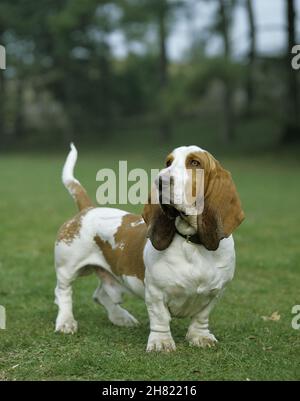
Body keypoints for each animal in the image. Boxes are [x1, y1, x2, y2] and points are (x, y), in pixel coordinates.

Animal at [54, 144, 244, 350]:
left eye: (195, 163)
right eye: (168, 162)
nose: (160, 181)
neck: (191, 241)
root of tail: (88, 209)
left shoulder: (215, 292)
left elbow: (201, 317)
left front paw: (200, 337)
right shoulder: (155, 292)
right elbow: (160, 318)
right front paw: (161, 343)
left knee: (101, 295)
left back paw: (121, 318)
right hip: (68, 267)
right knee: (63, 293)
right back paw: (66, 322)